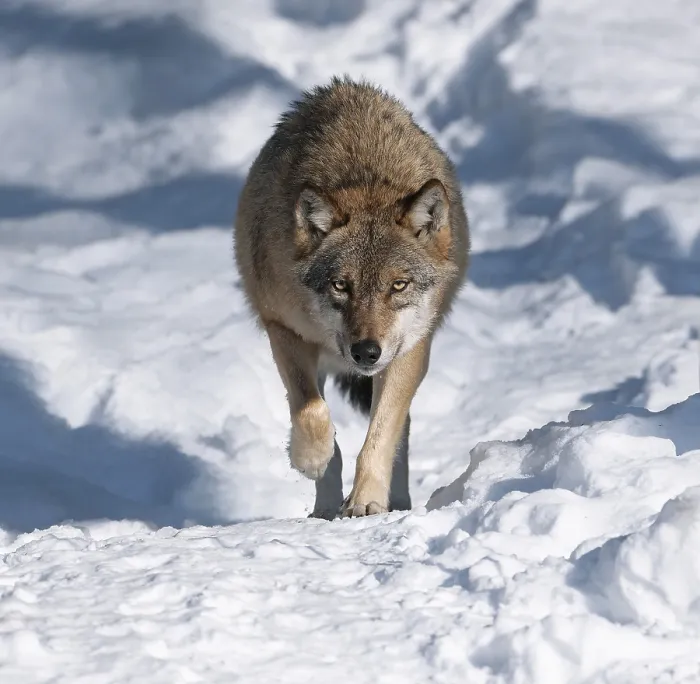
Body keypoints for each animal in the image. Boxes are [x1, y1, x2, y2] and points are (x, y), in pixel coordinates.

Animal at [233, 76, 469, 518]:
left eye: (398, 285)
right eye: (341, 286)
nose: (366, 352)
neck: (366, 182)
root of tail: (344, 87)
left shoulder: (410, 349)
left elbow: (379, 437)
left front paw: (366, 502)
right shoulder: (284, 330)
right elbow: (311, 412)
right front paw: (311, 460)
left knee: (401, 432)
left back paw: (396, 503)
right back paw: (324, 506)